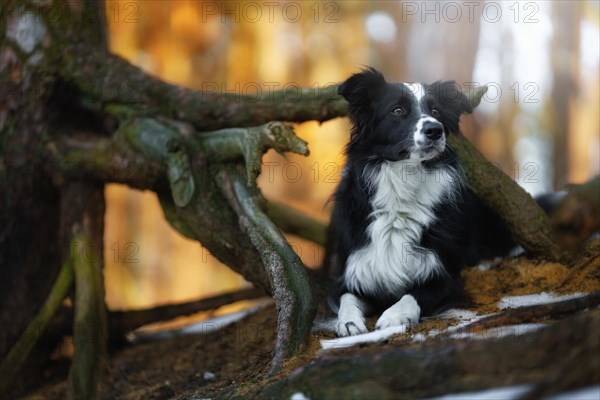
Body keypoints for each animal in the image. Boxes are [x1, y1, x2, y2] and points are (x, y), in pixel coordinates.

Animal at [326, 69, 512, 338]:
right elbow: (347, 297)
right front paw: (349, 321)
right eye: (397, 110)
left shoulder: (447, 277)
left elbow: (414, 294)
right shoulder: (351, 273)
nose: (435, 129)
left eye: (436, 111)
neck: (404, 182)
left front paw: (394, 315)